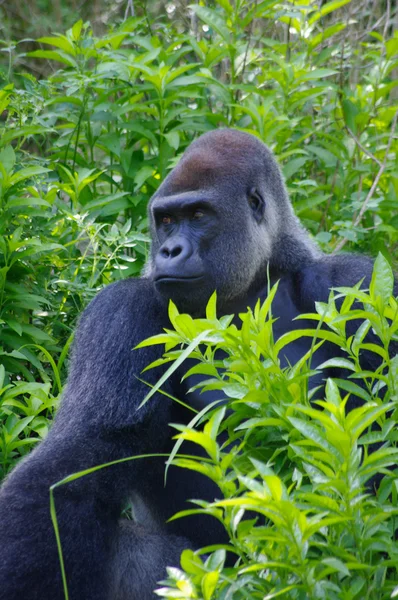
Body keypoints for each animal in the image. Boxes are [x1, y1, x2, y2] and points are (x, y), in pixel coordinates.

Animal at [0, 130, 394, 600]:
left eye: (199, 214)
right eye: (166, 220)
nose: (169, 250)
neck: (249, 286)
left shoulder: (354, 285)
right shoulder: (119, 311)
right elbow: (76, 464)